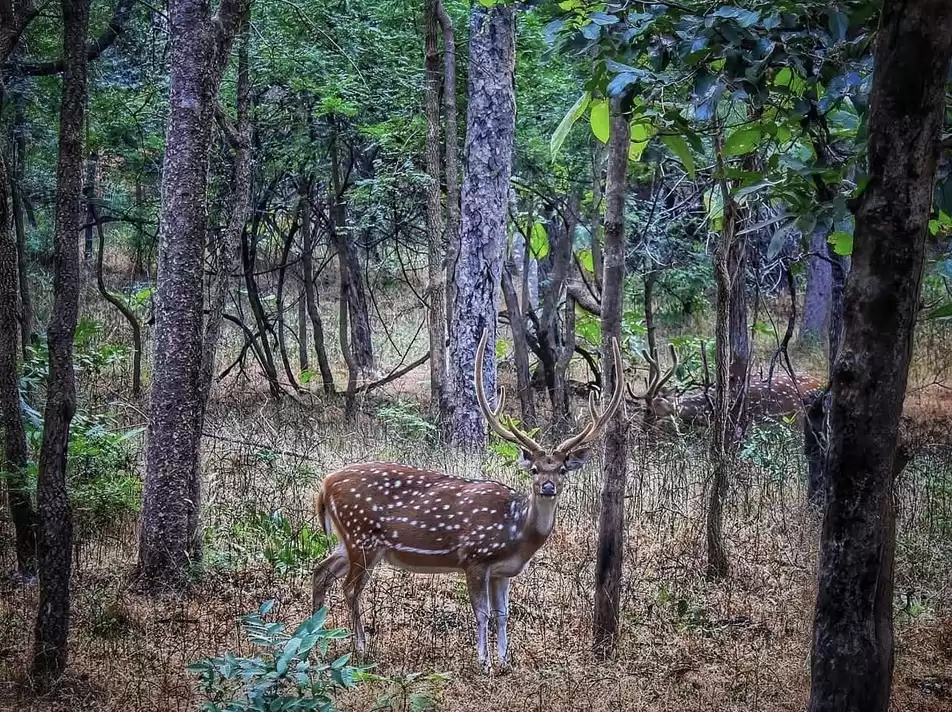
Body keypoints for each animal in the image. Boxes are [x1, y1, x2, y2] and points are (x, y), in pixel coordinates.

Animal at [310, 329, 624, 672]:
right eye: (535, 469)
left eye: (563, 469)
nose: (547, 487)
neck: (517, 533)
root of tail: (324, 486)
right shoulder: (475, 557)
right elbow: (482, 612)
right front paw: (484, 662)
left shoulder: (502, 571)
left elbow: (503, 614)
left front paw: (504, 661)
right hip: (362, 536)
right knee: (349, 587)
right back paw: (361, 647)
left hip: (350, 540)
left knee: (320, 572)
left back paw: (313, 639)